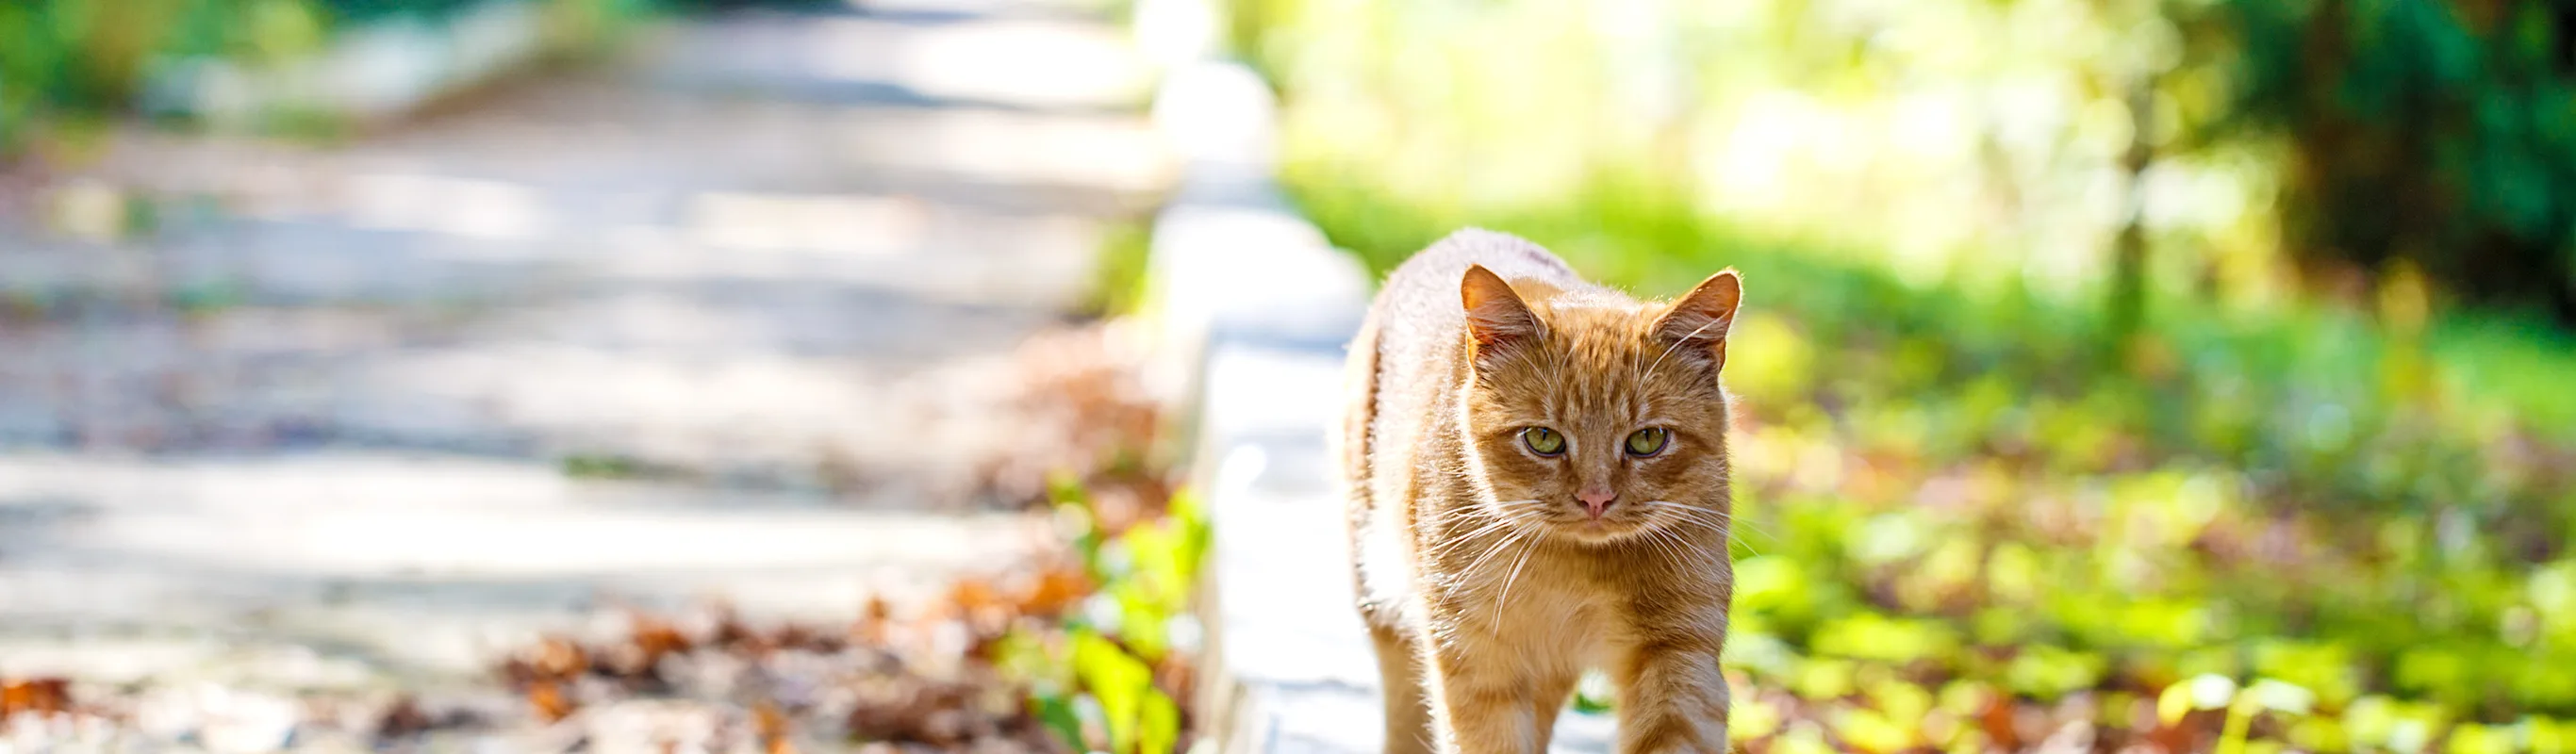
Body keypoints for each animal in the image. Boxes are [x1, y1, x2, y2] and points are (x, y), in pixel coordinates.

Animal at [1339, 229, 1741, 751]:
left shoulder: (1679, 654)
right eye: (1543, 439)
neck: (1574, 571)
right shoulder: (1477, 660)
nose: (1595, 498)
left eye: (1648, 439)